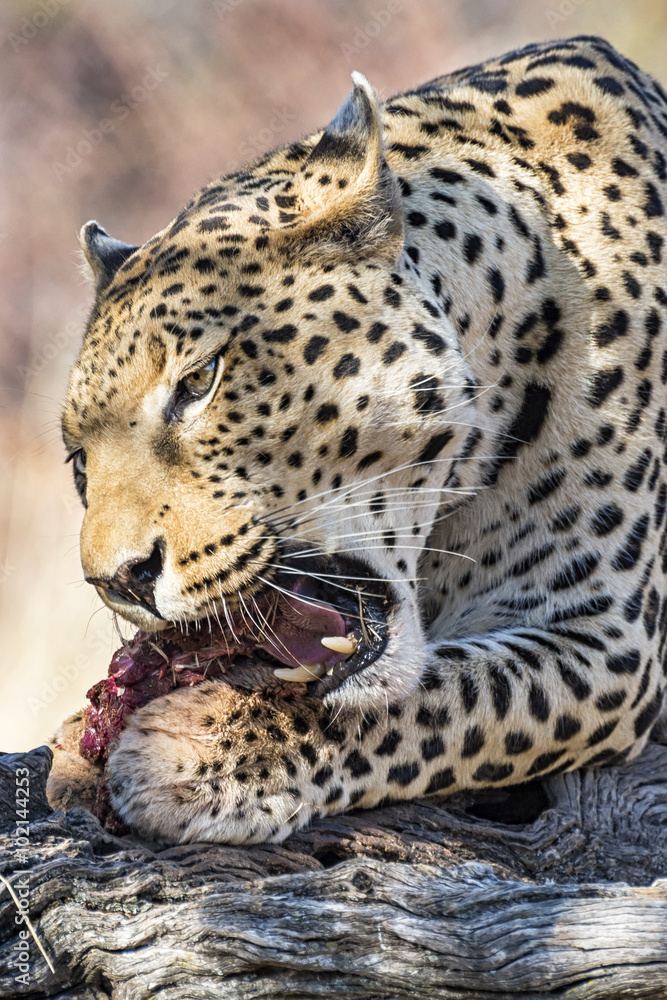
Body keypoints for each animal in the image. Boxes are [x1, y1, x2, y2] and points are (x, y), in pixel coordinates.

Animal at [48, 35, 667, 846]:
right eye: (78, 461)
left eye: (200, 380)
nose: (118, 582)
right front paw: (74, 751)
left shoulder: (605, 638)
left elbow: (446, 693)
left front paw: (194, 746)